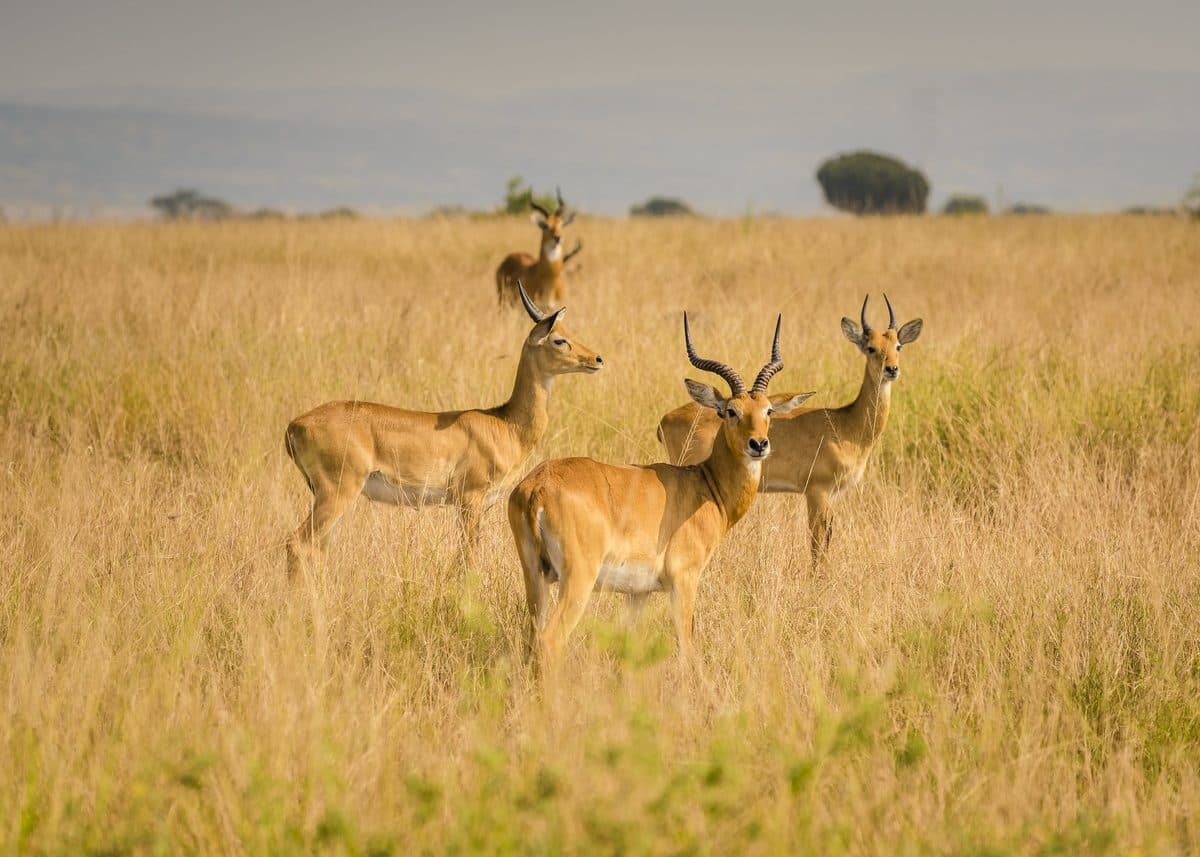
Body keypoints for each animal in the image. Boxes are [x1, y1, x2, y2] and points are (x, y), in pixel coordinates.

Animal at [284, 284, 603, 577]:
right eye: (559, 339)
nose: (597, 359)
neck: (505, 424)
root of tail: (295, 424)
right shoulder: (470, 498)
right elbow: (469, 558)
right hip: (337, 492)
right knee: (297, 543)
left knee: (319, 550)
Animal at [508, 314, 813, 666]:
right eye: (731, 411)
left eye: (768, 411)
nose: (759, 444)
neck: (706, 486)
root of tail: (537, 487)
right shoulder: (684, 581)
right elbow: (687, 647)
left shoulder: (637, 594)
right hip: (577, 580)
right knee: (549, 641)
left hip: (536, 578)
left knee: (530, 641)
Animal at [657, 295, 922, 568]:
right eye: (870, 347)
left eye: (898, 346)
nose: (892, 369)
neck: (847, 425)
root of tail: (665, 419)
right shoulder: (817, 491)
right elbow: (817, 543)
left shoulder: (832, 496)